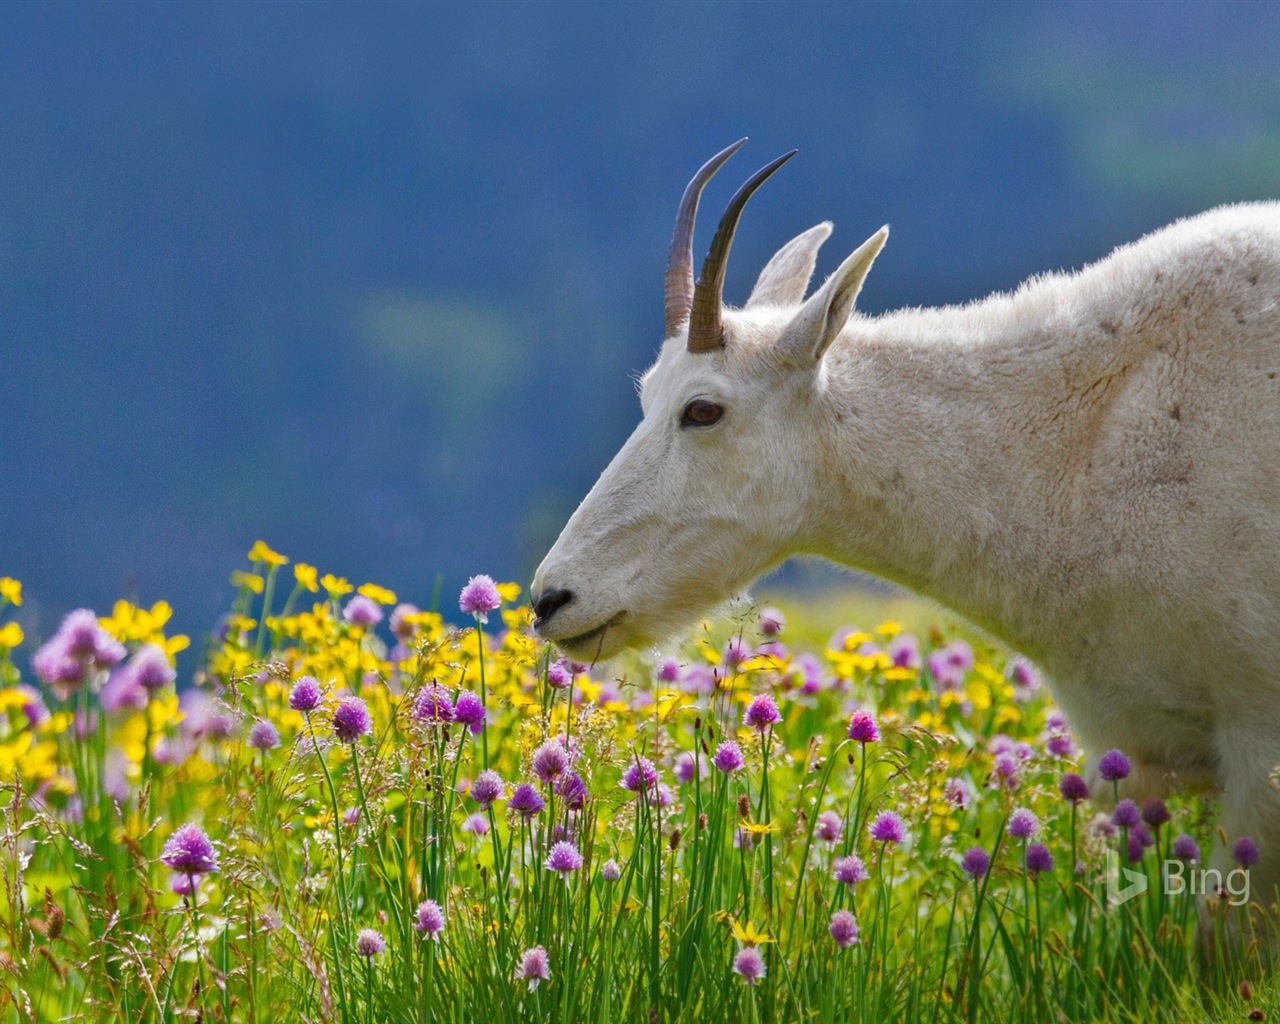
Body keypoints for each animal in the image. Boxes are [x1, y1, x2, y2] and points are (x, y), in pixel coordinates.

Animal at [532, 138, 1280, 921]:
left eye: (703, 409)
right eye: (648, 394)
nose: (552, 600)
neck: (1079, 455)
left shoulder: (1259, 741)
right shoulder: (1134, 759)